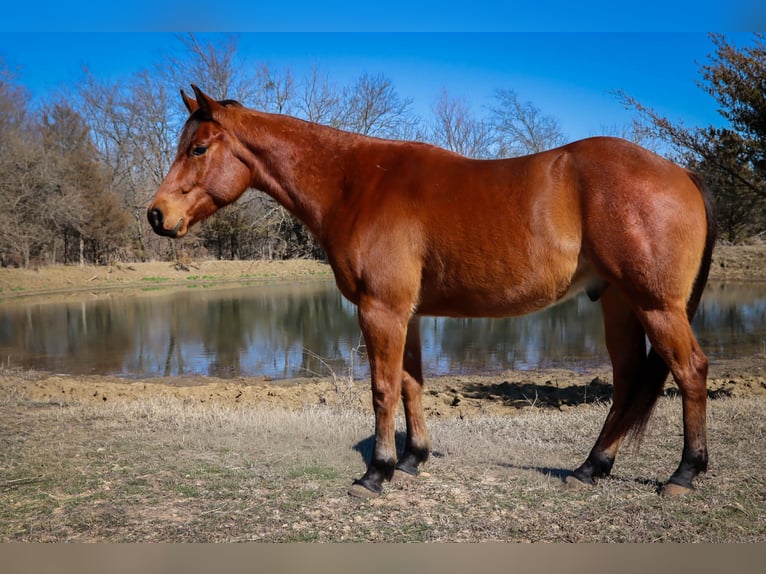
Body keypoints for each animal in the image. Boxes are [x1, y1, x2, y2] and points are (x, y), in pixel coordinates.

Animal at [148, 85, 716, 498]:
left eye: (198, 148)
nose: (157, 215)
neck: (357, 184)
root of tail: (681, 172)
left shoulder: (381, 310)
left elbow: (381, 388)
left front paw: (376, 473)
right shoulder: (409, 314)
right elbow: (411, 384)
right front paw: (413, 459)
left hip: (656, 306)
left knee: (689, 370)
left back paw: (684, 474)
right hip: (620, 304)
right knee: (627, 382)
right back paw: (590, 467)